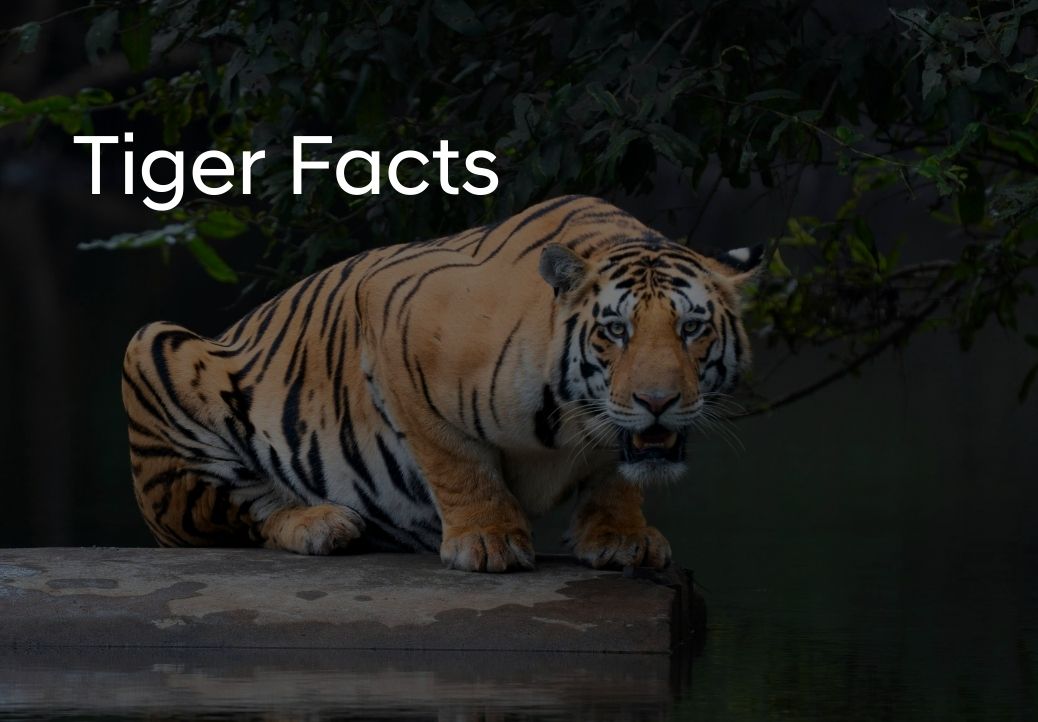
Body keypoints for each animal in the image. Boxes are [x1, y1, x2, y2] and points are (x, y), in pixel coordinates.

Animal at [122, 195, 762, 572]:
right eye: (615, 330)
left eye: (692, 328)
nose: (658, 402)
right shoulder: (390, 313)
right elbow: (454, 460)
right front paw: (488, 540)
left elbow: (616, 472)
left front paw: (621, 535)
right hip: (153, 351)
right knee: (243, 510)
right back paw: (320, 523)